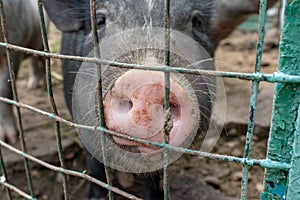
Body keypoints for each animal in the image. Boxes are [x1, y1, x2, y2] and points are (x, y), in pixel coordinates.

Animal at [0, 0, 47, 144]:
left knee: (40, 60)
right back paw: (32, 86)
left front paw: (10, 140)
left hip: (41, 41)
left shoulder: (15, 40)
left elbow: (5, 90)